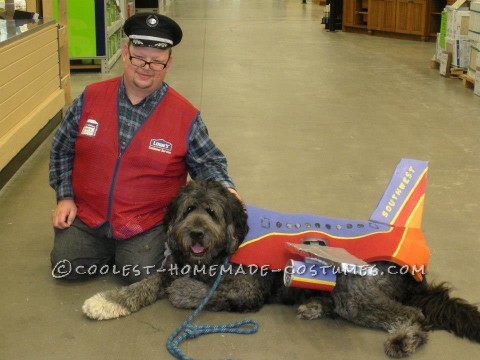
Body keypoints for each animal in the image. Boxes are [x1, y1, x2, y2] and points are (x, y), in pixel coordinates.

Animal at [83, 180, 480, 358]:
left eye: (211, 212)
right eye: (187, 210)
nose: (195, 233)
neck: (216, 254)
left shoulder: (246, 288)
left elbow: (197, 291)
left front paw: (184, 290)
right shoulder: (173, 266)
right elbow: (145, 283)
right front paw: (107, 301)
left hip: (355, 286)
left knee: (413, 314)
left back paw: (403, 339)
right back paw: (313, 305)